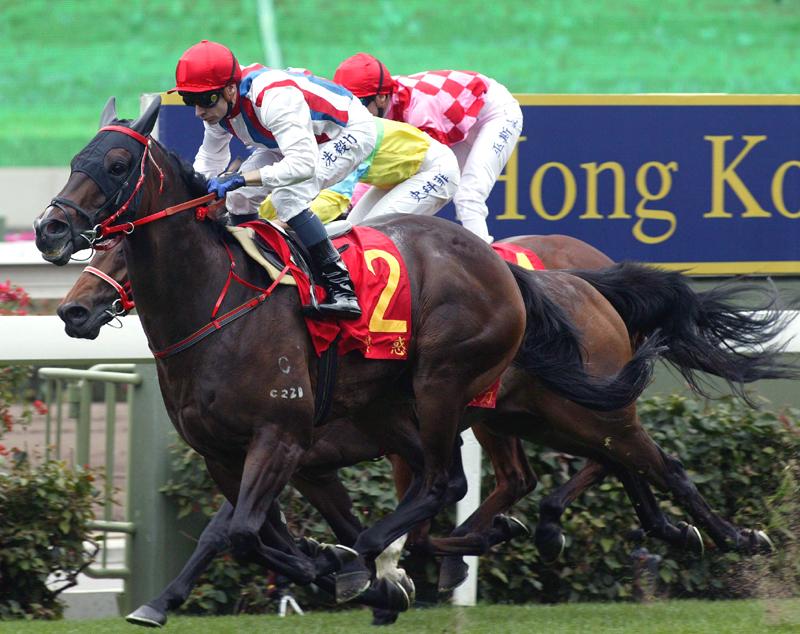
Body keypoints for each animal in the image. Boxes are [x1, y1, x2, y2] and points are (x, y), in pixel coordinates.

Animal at [35, 97, 658, 606]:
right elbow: (249, 534)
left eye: (117, 165)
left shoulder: (283, 437)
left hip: (452, 384)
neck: (217, 306)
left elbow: (239, 531)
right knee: (485, 478)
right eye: (75, 159)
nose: (50, 230)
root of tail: (506, 268)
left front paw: (350, 568)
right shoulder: (224, 453)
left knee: (458, 480)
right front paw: (338, 566)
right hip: (430, 410)